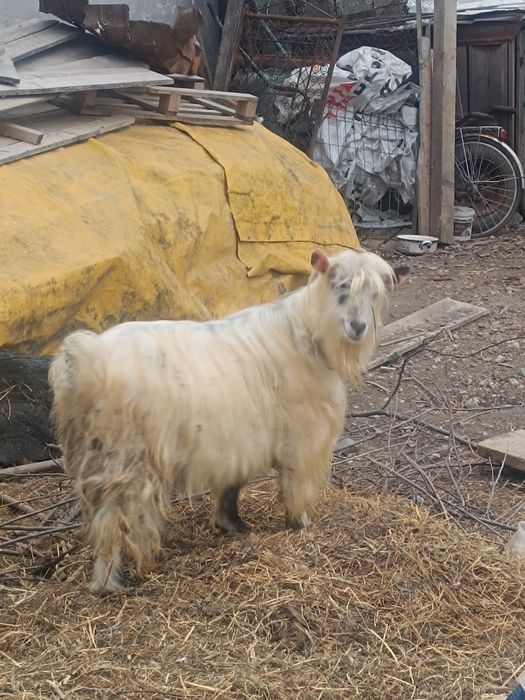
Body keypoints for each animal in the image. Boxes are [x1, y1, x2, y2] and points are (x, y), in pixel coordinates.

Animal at [49, 247, 408, 593]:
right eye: (340, 286)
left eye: (375, 294)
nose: (358, 327)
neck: (304, 333)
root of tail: (87, 357)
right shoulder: (300, 435)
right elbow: (293, 485)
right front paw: (299, 524)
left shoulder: (240, 438)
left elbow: (232, 483)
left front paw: (230, 525)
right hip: (126, 457)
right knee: (112, 517)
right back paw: (110, 583)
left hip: (98, 451)